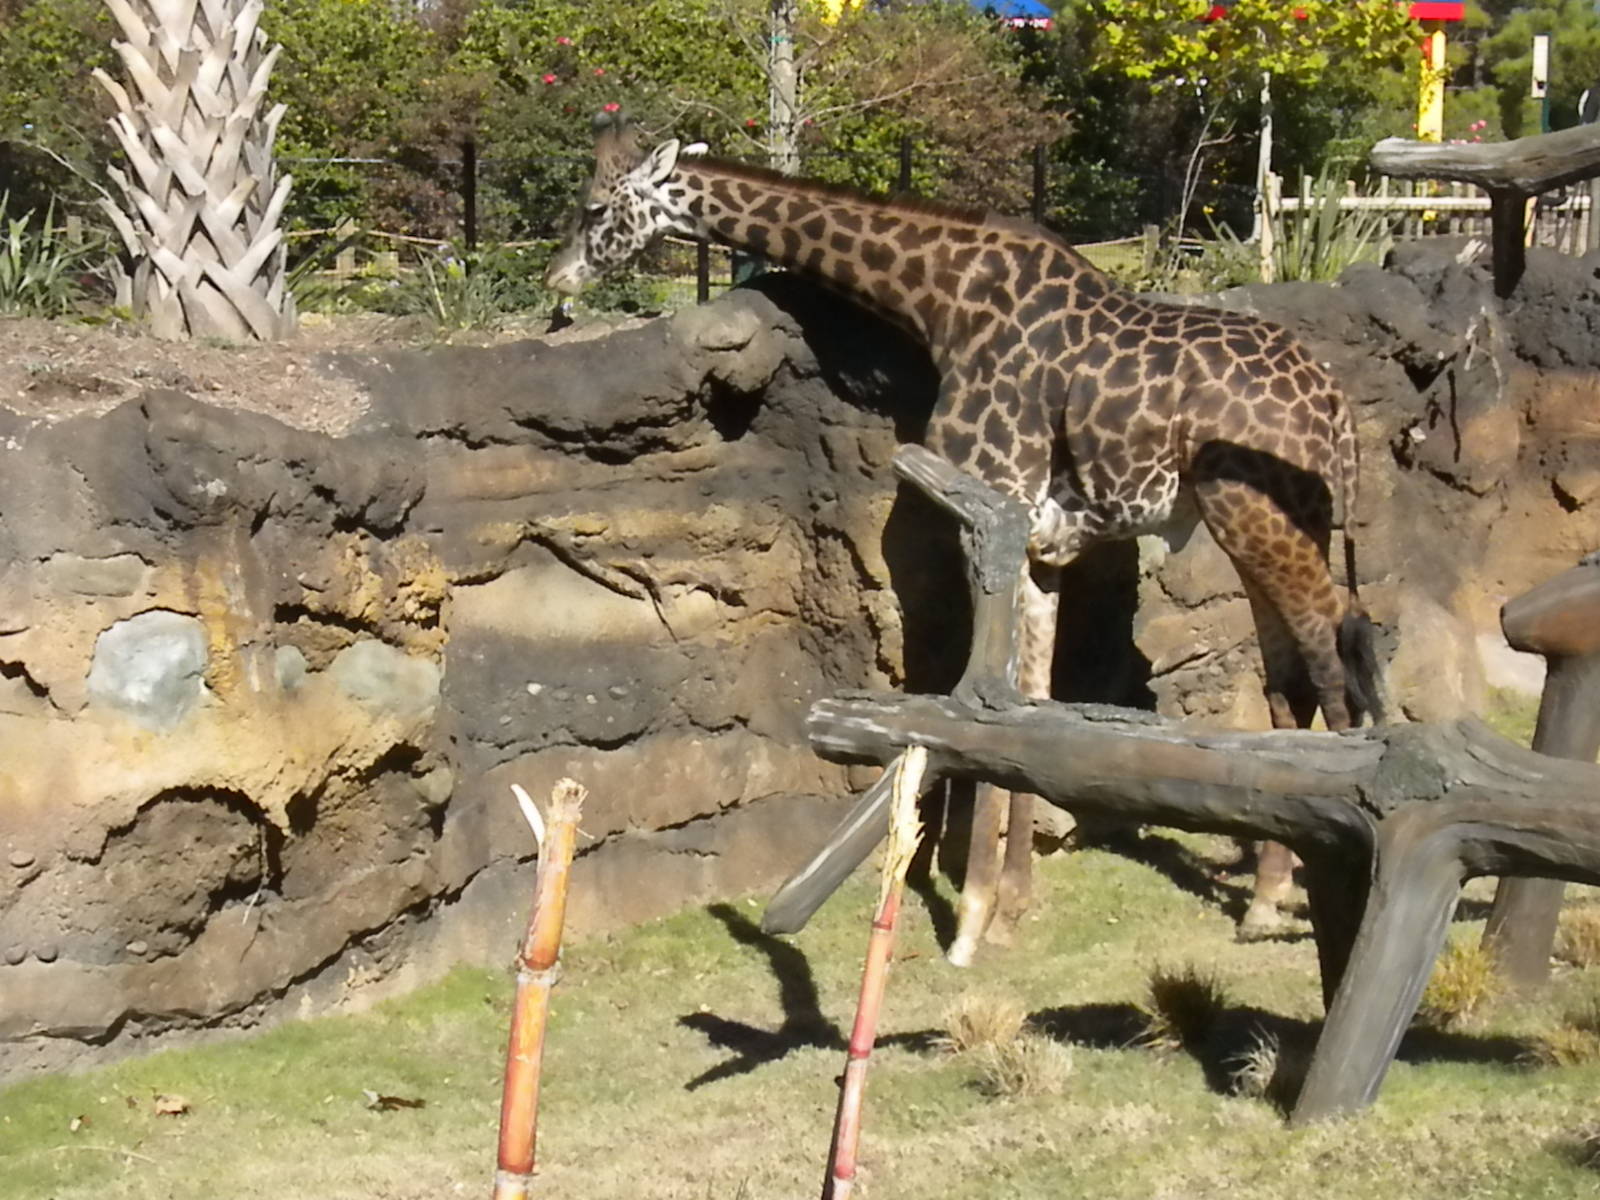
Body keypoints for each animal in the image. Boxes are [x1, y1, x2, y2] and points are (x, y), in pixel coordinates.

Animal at [546, 114, 1385, 962]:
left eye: (592, 207)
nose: (557, 281)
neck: (942, 299)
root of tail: (1336, 411)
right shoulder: (1044, 544)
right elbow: (1031, 704)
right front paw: (1011, 908)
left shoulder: (991, 514)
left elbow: (984, 708)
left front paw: (972, 920)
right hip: (1264, 528)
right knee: (1293, 675)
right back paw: (1267, 897)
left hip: (1260, 520)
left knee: (1332, 653)